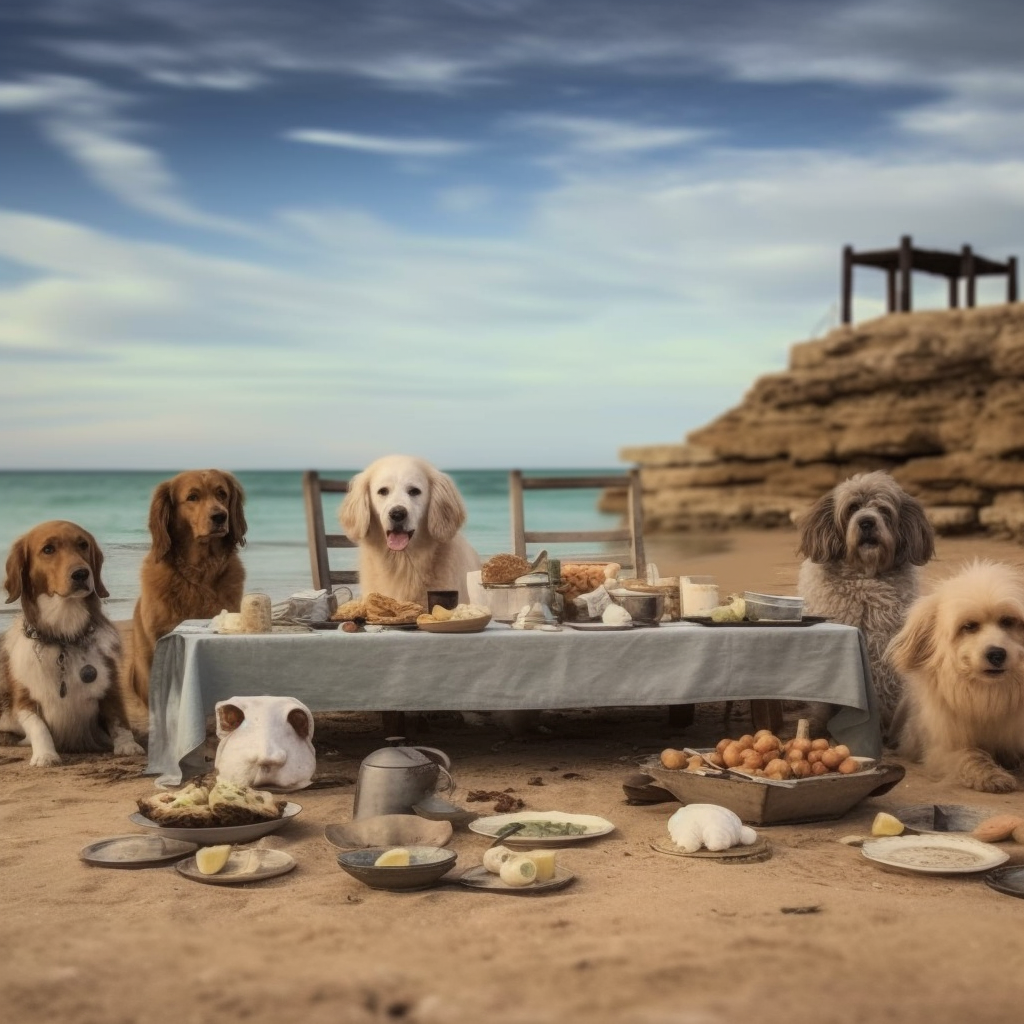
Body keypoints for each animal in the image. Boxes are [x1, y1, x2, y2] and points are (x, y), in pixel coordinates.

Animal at [0, 524, 145, 765]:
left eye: (83, 545)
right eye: (48, 549)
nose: (81, 573)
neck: (64, 637)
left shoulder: (109, 684)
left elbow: (118, 717)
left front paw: (128, 745)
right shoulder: (25, 698)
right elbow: (38, 725)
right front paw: (45, 755)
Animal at [888, 561, 1024, 790]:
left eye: (1007, 621)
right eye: (969, 626)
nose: (997, 654)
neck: (989, 695)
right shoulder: (943, 748)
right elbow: (970, 755)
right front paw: (991, 776)